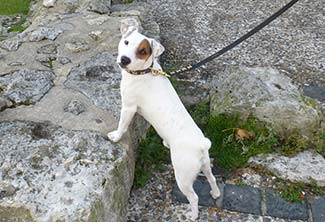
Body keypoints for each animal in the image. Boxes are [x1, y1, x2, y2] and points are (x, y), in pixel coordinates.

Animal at [107, 17, 219, 220]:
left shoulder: (128, 107)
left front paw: (116, 137)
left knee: (194, 197)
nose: (125, 60)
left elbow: (122, 125)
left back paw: (193, 214)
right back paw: (215, 193)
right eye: (126, 42)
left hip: (182, 176)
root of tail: (200, 144)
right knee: (212, 178)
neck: (144, 71)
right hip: (205, 164)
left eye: (142, 51)